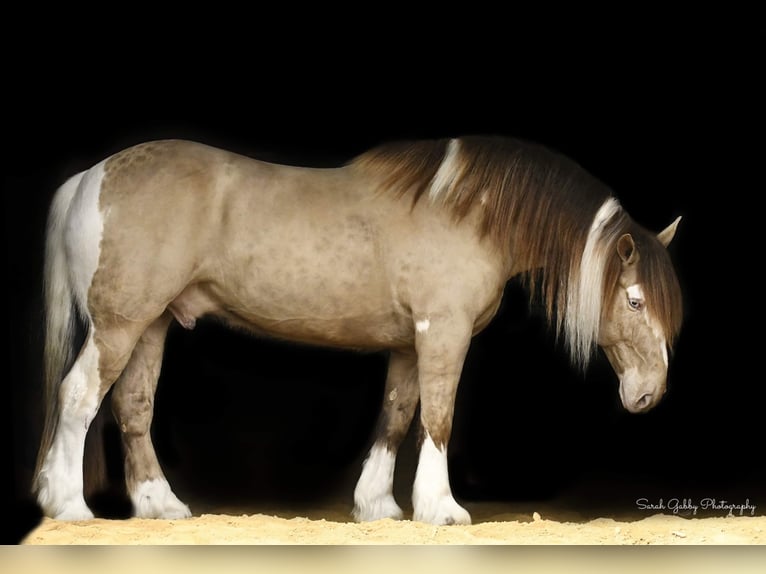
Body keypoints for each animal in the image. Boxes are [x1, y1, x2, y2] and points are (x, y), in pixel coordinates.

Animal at [33, 136, 688, 528]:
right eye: (634, 300)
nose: (649, 394)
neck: (468, 212)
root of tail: (93, 175)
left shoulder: (407, 343)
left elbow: (396, 416)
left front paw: (377, 505)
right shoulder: (442, 333)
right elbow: (438, 419)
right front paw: (441, 509)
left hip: (153, 323)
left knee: (133, 406)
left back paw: (160, 504)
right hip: (121, 323)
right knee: (79, 396)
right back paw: (66, 503)